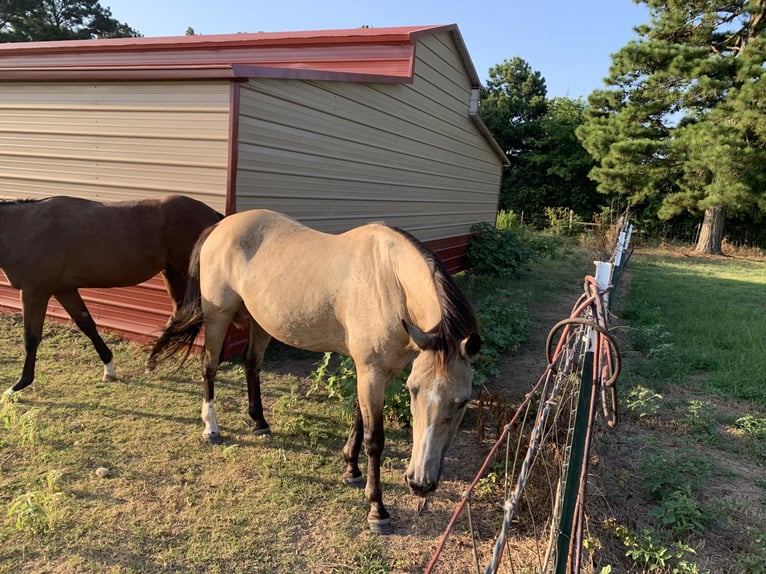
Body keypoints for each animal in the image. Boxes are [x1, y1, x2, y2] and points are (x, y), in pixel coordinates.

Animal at [2, 196, 225, 398]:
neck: (29, 228)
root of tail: (214, 216)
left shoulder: (34, 292)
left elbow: (31, 338)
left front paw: (18, 386)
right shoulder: (64, 290)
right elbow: (87, 324)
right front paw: (109, 368)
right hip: (171, 273)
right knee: (180, 313)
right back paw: (151, 360)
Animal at [148, 210, 484, 536]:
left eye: (462, 402)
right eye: (413, 391)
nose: (419, 483)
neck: (390, 282)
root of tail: (220, 226)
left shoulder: (377, 371)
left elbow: (359, 418)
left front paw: (351, 470)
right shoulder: (371, 371)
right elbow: (375, 438)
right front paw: (377, 509)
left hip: (259, 321)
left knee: (252, 363)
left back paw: (259, 422)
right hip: (218, 316)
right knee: (210, 367)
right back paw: (211, 428)